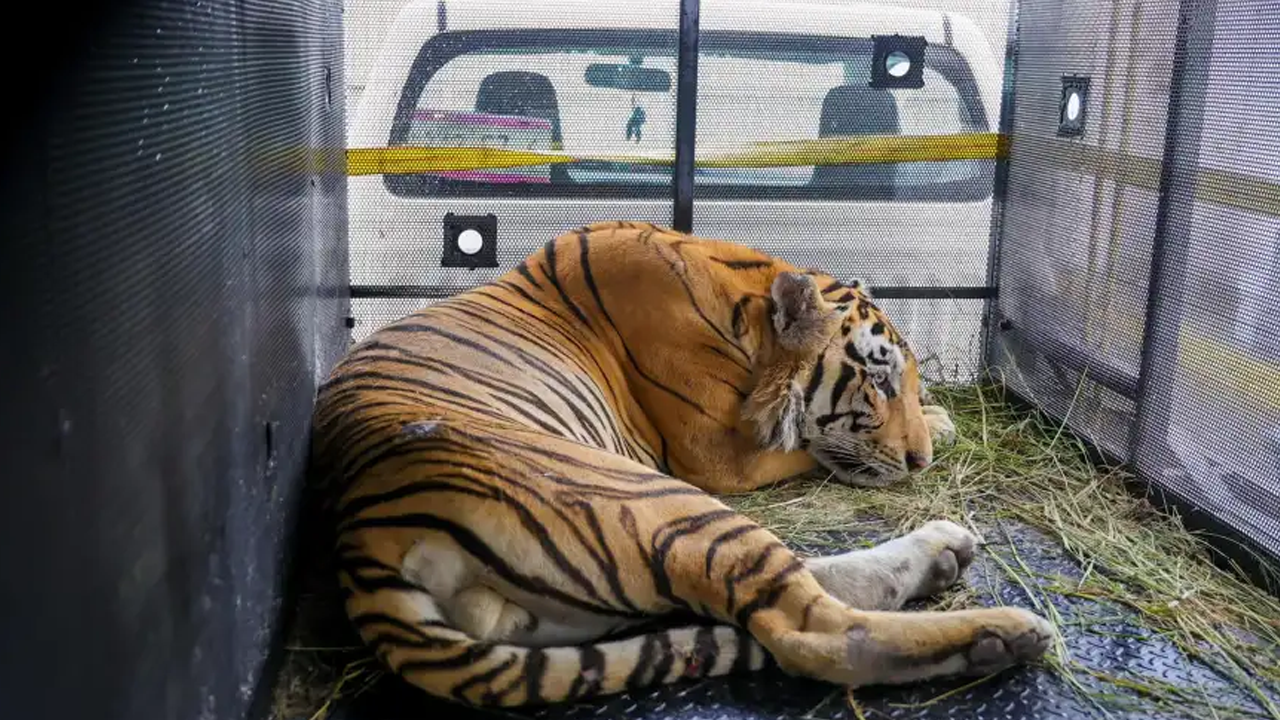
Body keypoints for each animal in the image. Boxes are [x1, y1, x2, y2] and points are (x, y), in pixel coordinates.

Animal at [312, 220, 1059, 707]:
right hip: (645, 493)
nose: (919, 459)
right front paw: (939, 424)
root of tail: (361, 541)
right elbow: (809, 448)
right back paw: (1003, 633)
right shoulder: (716, 456)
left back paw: (944, 552)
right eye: (877, 381)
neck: (744, 305)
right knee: (814, 633)